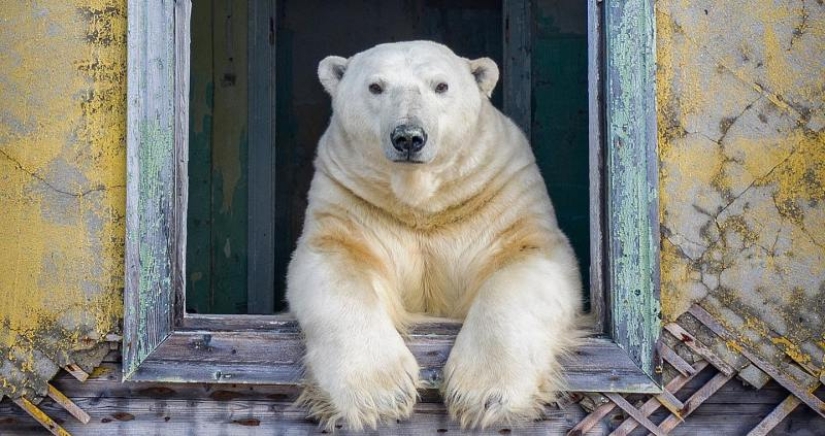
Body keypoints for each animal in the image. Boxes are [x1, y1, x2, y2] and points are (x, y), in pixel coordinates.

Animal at [286, 40, 583, 430]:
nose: (409, 137)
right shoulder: (351, 201)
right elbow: (336, 263)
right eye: (375, 86)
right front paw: (379, 395)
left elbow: (525, 260)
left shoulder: (499, 194)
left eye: (441, 86)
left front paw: (484, 395)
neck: (422, 204)